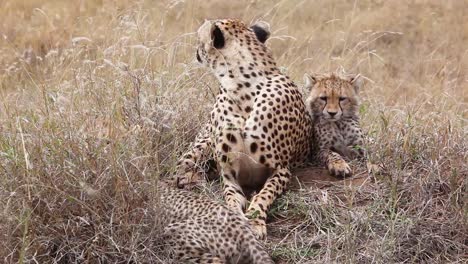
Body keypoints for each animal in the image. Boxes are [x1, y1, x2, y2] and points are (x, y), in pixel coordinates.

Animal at [174, 17, 312, 238]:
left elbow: (264, 194)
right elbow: (231, 198)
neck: (241, 89)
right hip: (200, 148)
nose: (195, 49)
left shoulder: (281, 168)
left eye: (199, 37)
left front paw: (255, 221)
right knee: (181, 168)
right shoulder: (229, 173)